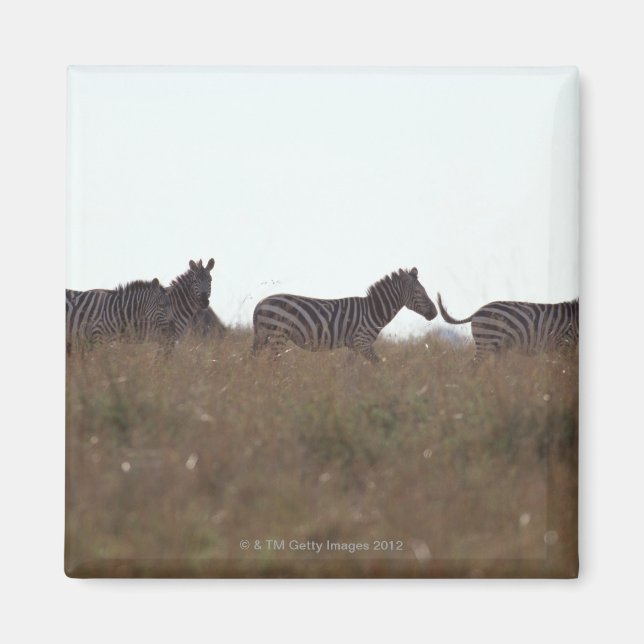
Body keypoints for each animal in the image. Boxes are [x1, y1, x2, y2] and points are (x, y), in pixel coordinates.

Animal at [252, 267, 438, 362]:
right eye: (419, 292)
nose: (435, 313)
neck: (374, 310)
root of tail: (260, 303)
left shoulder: (354, 346)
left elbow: (350, 370)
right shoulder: (362, 342)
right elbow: (379, 364)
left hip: (265, 336)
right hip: (277, 335)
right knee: (273, 363)